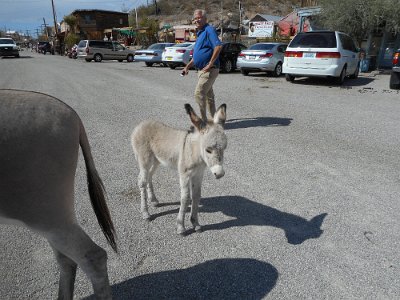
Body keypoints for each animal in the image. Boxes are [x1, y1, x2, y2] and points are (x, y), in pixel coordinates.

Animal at [130, 103, 225, 234]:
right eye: (208, 150)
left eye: (224, 148)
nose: (220, 173)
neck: (195, 152)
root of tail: (140, 125)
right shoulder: (184, 175)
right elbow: (185, 198)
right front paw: (181, 226)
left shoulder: (198, 174)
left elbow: (196, 196)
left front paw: (195, 223)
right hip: (144, 161)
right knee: (142, 181)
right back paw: (145, 213)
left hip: (156, 160)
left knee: (149, 176)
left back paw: (153, 200)